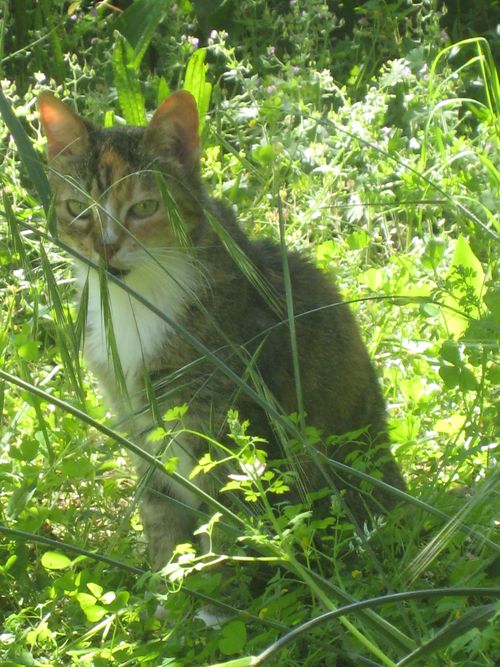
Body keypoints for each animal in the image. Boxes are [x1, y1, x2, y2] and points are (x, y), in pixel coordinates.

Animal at [39, 87, 406, 568]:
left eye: (144, 207)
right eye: (78, 209)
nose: (105, 248)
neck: (135, 299)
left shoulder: (224, 427)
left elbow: (229, 529)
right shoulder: (136, 424)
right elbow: (163, 520)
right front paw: (170, 585)